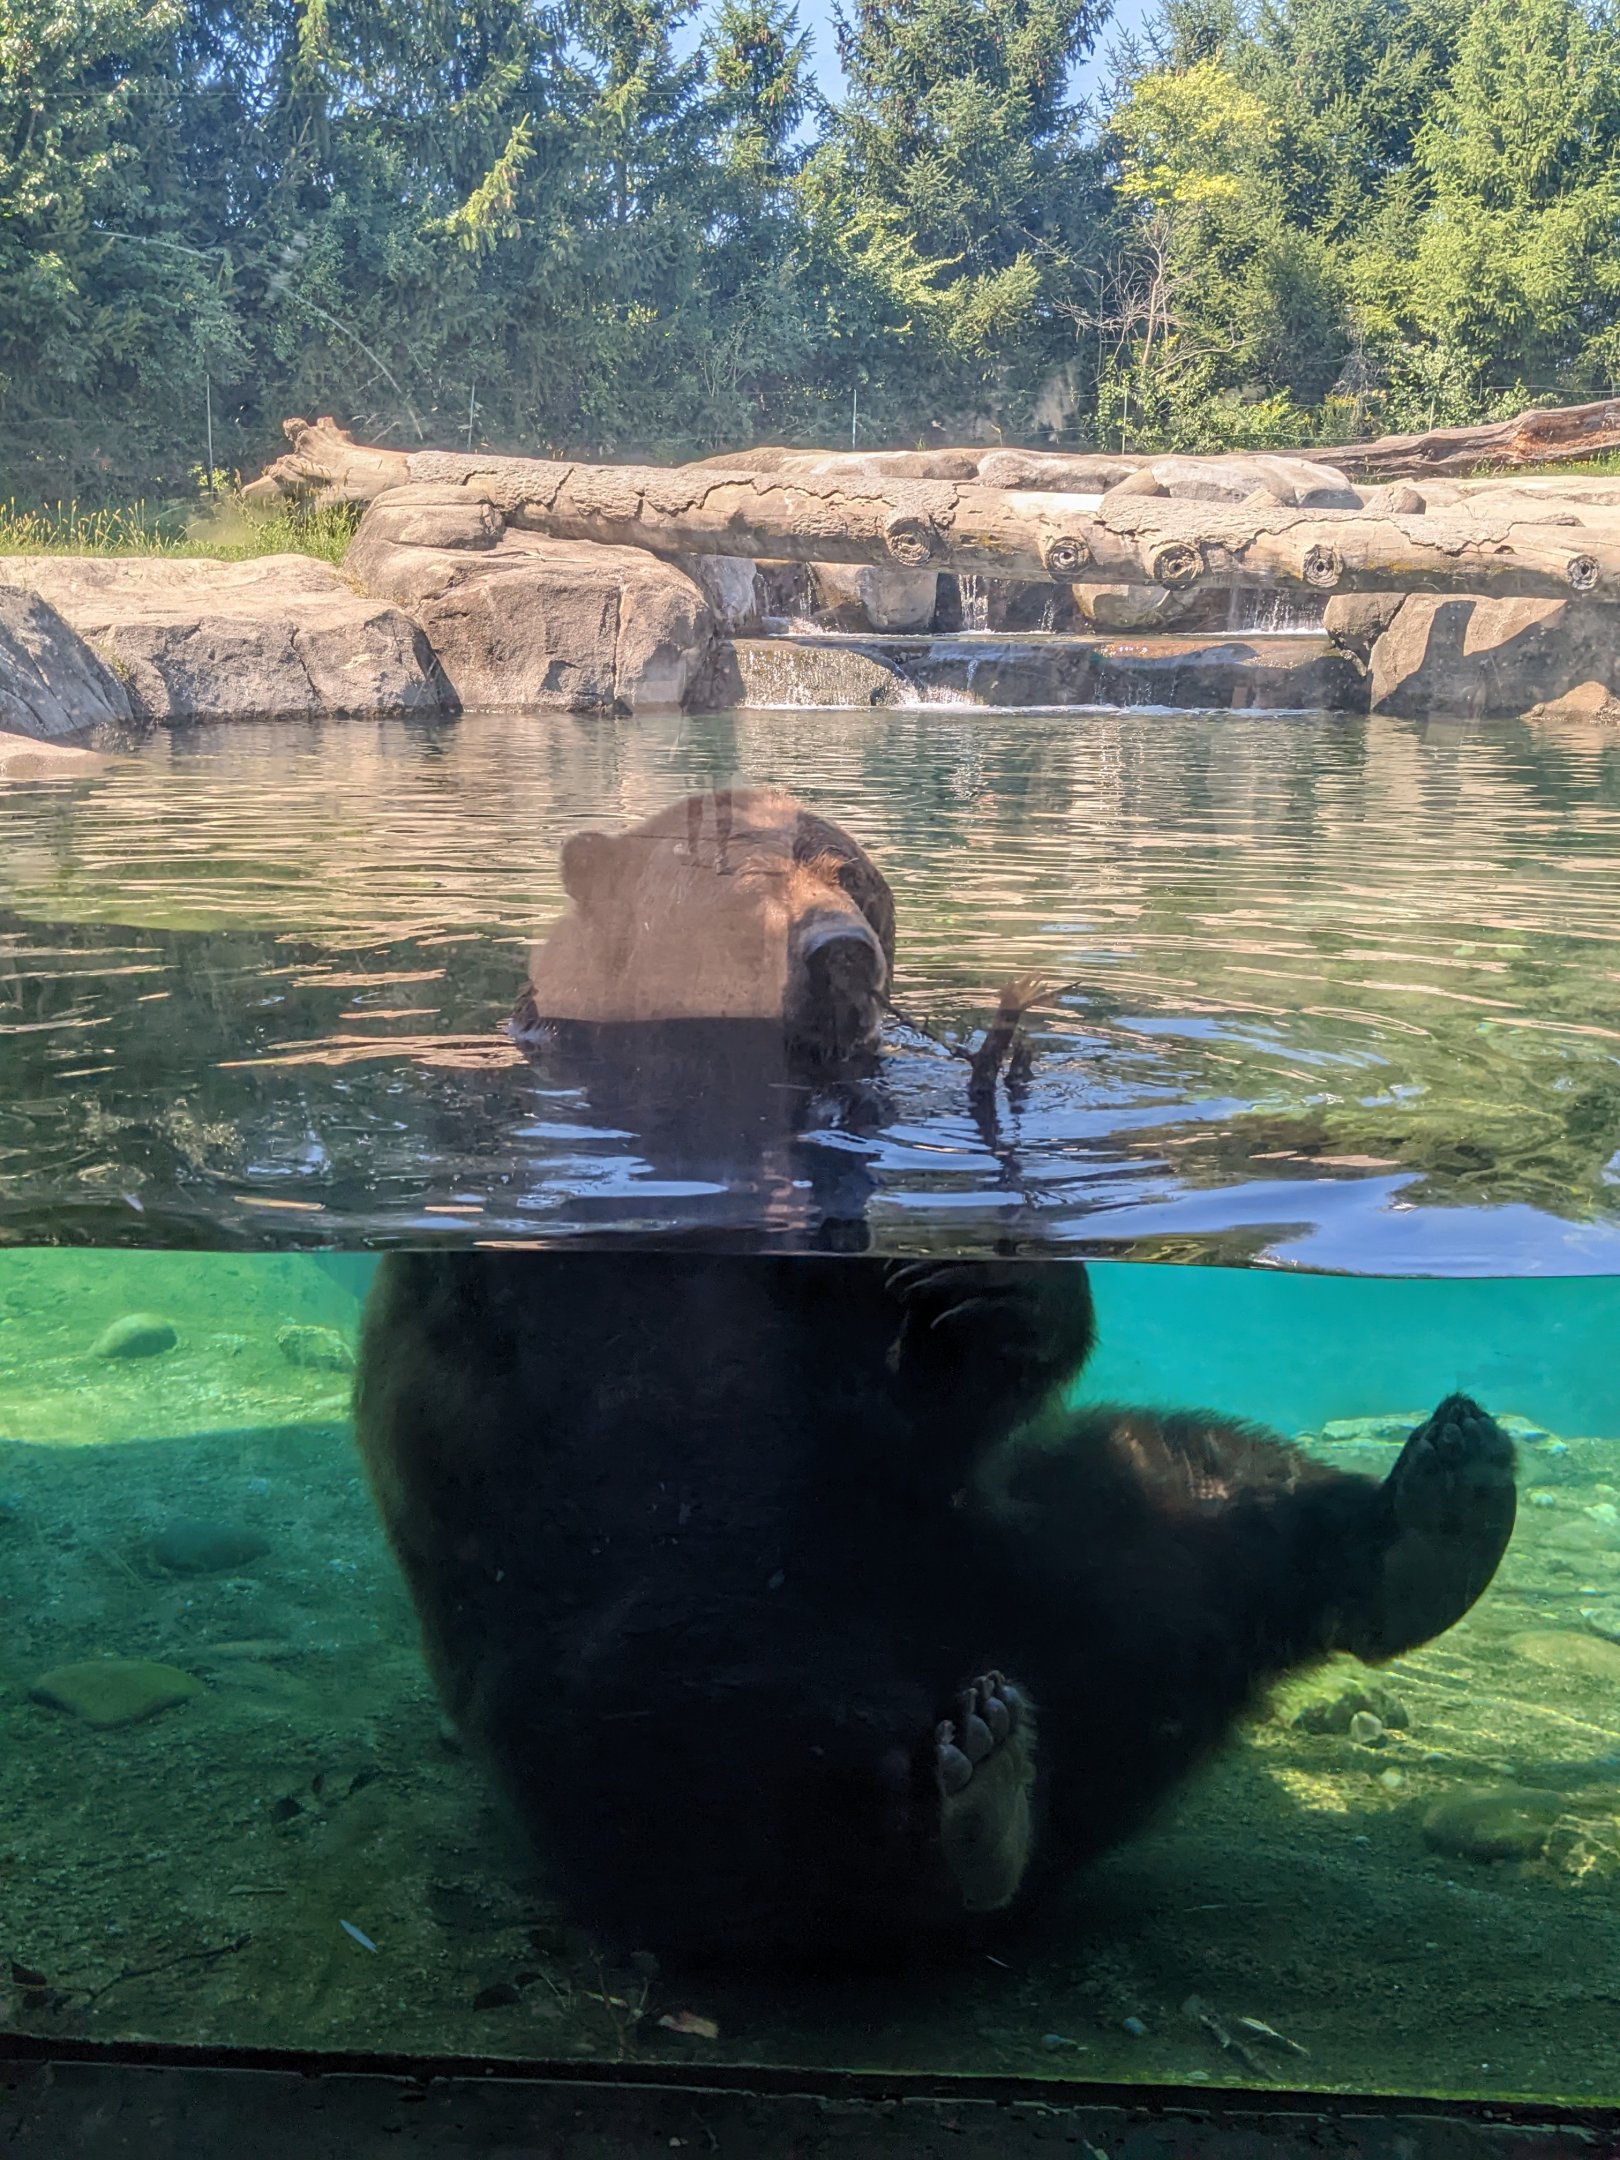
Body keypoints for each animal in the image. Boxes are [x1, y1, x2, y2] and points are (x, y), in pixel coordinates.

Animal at [354, 1251, 1516, 1971]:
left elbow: (923, 1374)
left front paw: (991, 1279)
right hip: (604, 1675)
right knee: (709, 1753)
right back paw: (977, 1793)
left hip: (1059, 1551)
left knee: (1197, 1482)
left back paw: (1443, 1504)